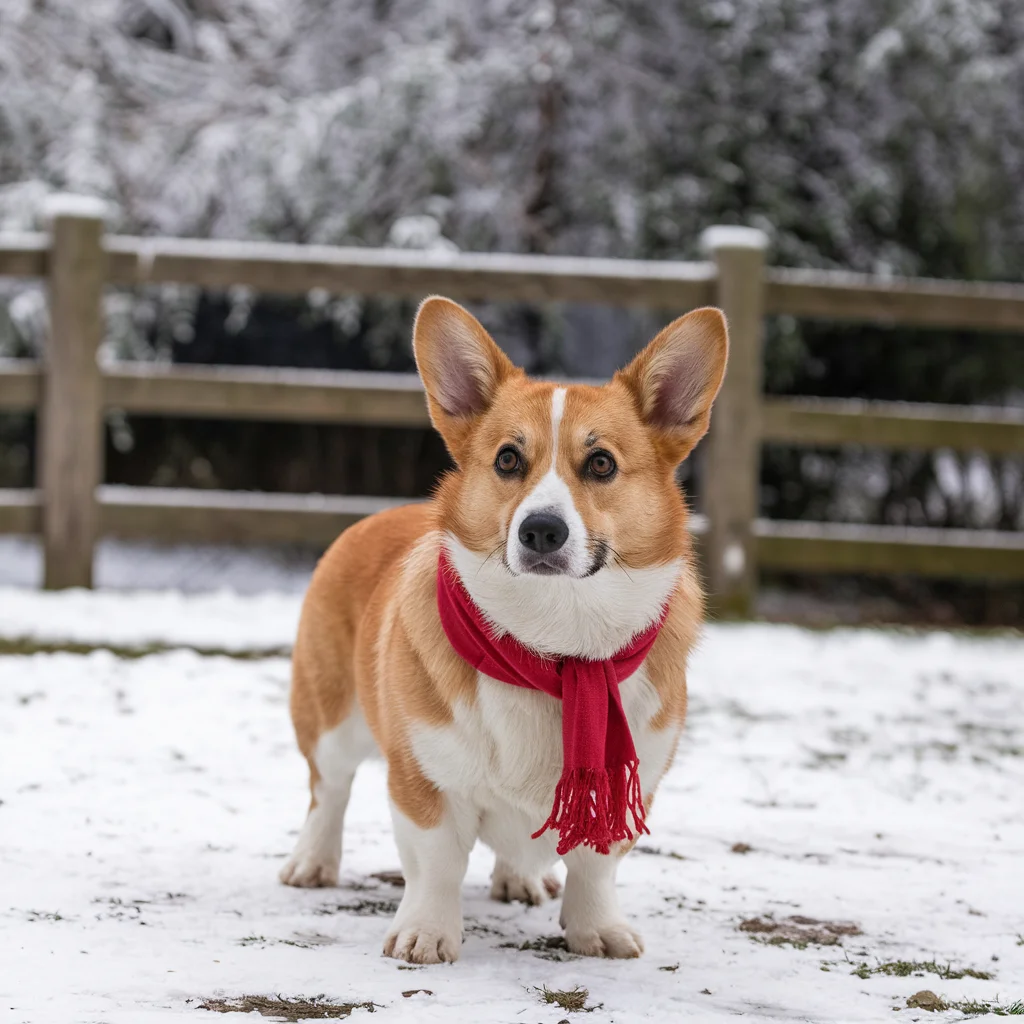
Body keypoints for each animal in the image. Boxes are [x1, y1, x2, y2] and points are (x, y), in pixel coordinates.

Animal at [280, 294, 729, 958]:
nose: (541, 530)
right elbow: (436, 863)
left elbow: (596, 865)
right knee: (326, 790)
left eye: (601, 463)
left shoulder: (632, 777)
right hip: (330, 717)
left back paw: (519, 878)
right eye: (508, 459)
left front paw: (598, 930)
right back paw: (312, 862)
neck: (555, 645)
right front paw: (425, 935)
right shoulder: (424, 777)